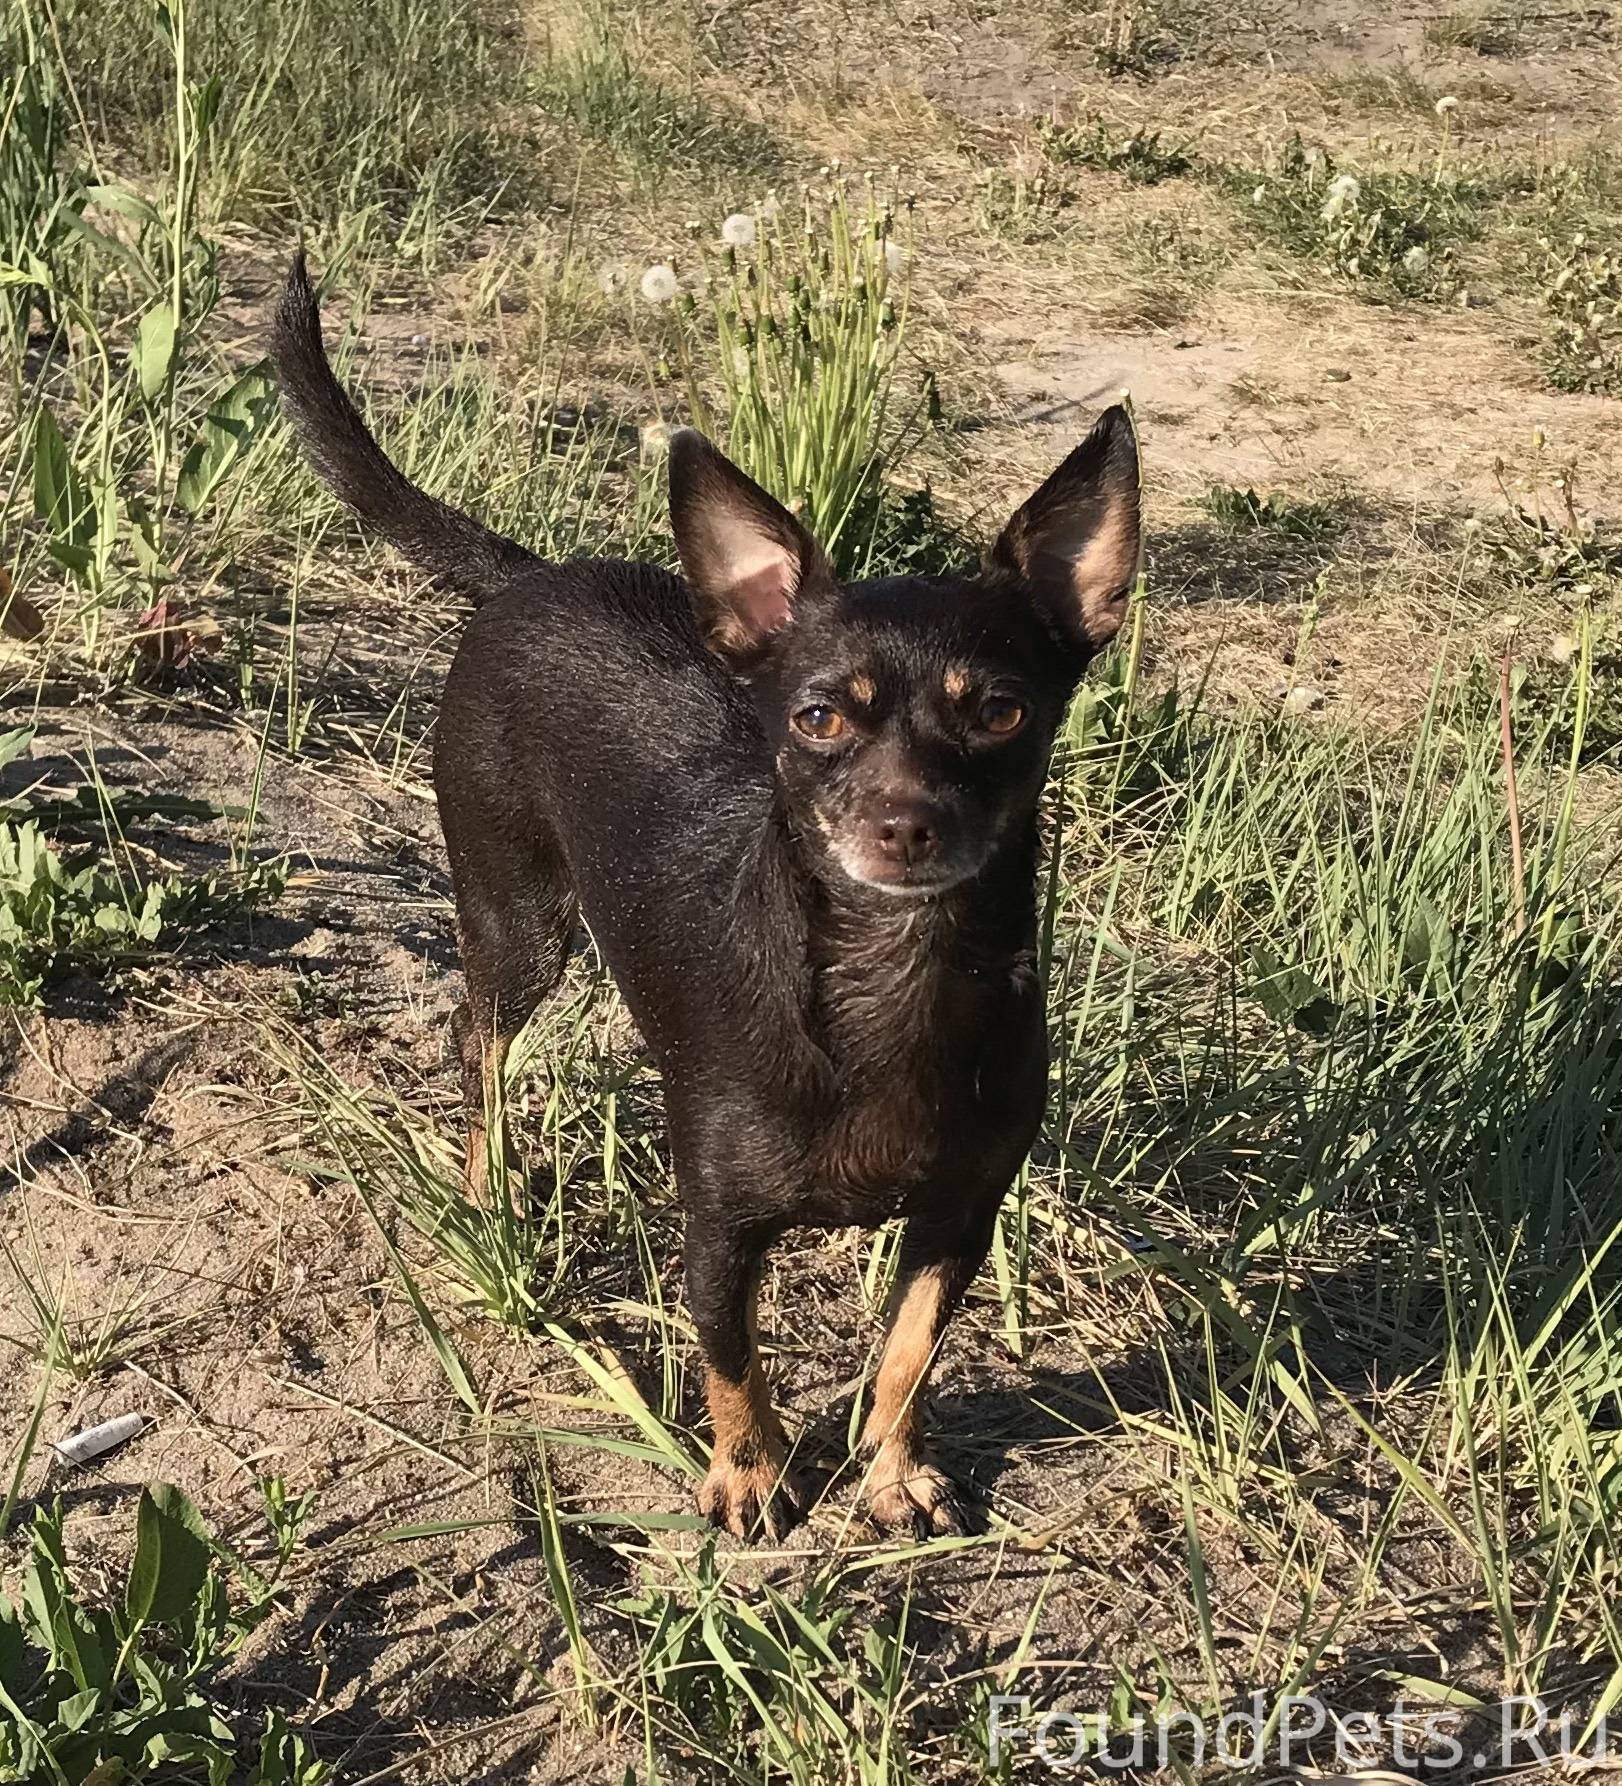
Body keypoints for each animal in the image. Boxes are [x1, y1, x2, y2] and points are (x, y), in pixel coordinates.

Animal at [271, 253, 1142, 1539]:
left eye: (999, 710)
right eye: (818, 716)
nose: (905, 822)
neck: (885, 979)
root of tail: (534, 575)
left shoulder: (958, 1217)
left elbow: (906, 1354)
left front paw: (890, 1471)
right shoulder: (720, 1231)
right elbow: (731, 1355)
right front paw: (751, 1474)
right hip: (517, 924)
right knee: (477, 1048)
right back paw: (490, 1203)